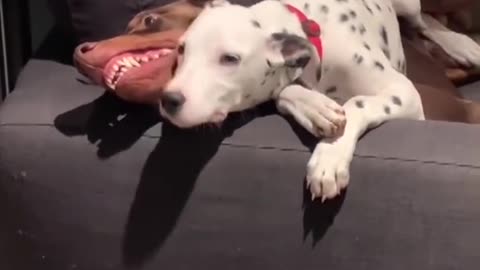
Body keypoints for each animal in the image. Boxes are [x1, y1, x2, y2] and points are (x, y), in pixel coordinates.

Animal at [159, 0, 480, 201]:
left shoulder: (404, 92)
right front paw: (315, 108)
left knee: (422, 21)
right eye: (181, 49)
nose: (168, 99)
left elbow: (357, 103)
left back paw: (463, 44)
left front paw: (329, 157)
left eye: (230, 58)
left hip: (408, 5)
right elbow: (287, 93)